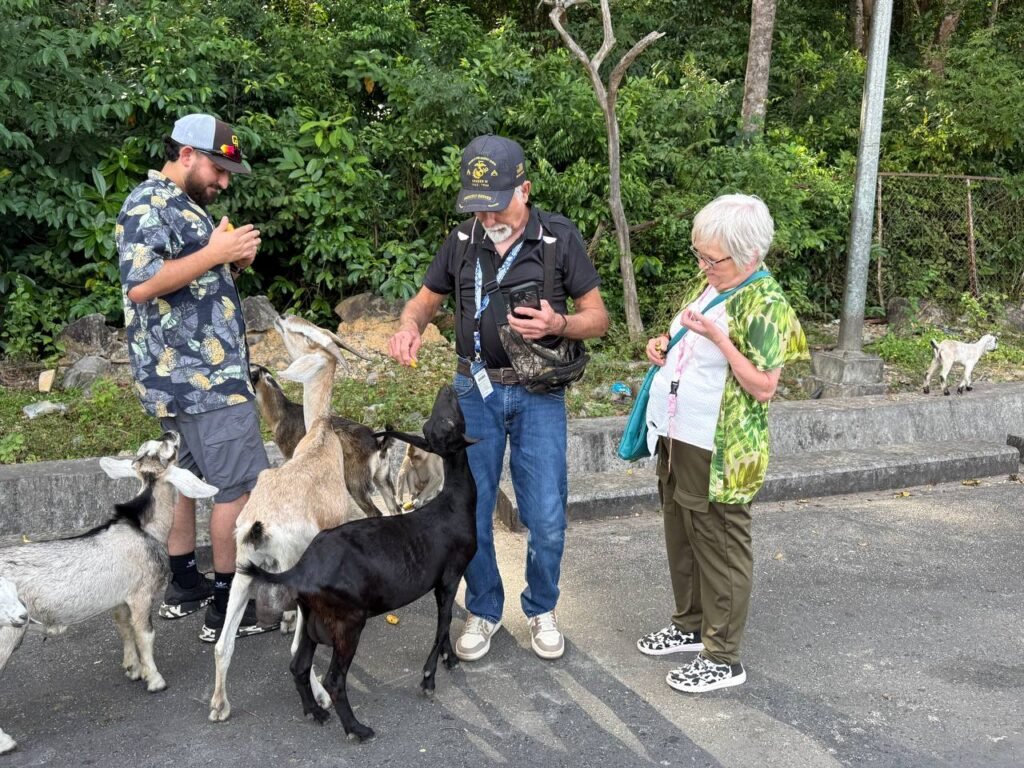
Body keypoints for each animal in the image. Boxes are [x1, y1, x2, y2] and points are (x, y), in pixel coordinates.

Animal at [0, 432, 217, 755]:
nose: (170, 433)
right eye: (167, 451)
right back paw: (6, 742)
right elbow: (145, 634)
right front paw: (155, 680)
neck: (145, 530)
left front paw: (133, 669)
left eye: (155, 447)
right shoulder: (141, 593)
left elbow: (124, 629)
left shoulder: (121, 598)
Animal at [239, 384, 479, 742]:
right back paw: (356, 728)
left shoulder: (444, 580)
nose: (449, 388)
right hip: (348, 621)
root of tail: (302, 569)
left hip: (313, 617)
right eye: (448, 420)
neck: (453, 503)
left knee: (299, 666)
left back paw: (315, 712)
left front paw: (450, 660)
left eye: (437, 422)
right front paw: (428, 679)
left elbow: (446, 624)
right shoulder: (450, 575)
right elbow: (443, 624)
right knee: (333, 680)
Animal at [250, 362, 400, 517]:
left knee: (375, 512)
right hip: (383, 477)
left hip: (356, 482)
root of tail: (379, 444)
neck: (281, 414)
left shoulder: (290, 454)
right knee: (394, 508)